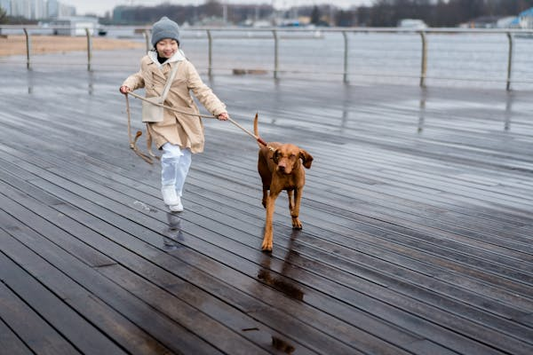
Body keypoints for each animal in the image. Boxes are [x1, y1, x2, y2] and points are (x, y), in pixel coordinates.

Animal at [252, 115, 312, 252]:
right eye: (279, 154)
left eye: (292, 156)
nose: (281, 167)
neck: (289, 175)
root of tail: (265, 145)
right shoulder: (273, 195)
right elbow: (269, 222)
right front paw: (267, 241)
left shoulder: (299, 189)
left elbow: (296, 208)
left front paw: (295, 218)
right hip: (266, 178)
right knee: (264, 190)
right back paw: (265, 201)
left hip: (289, 189)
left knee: (290, 202)